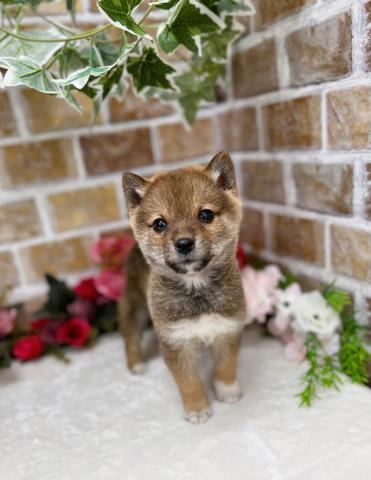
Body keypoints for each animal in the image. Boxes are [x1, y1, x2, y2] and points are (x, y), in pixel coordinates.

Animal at [120, 153, 247, 424]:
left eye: (206, 215)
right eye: (160, 224)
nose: (184, 243)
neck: (196, 289)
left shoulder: (228, 329)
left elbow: (226, 366)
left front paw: (227, 390)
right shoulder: (176, 342)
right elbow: (188, 382)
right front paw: (197, 408)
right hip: (134, 304)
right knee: (130, 333)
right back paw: (136, 363)